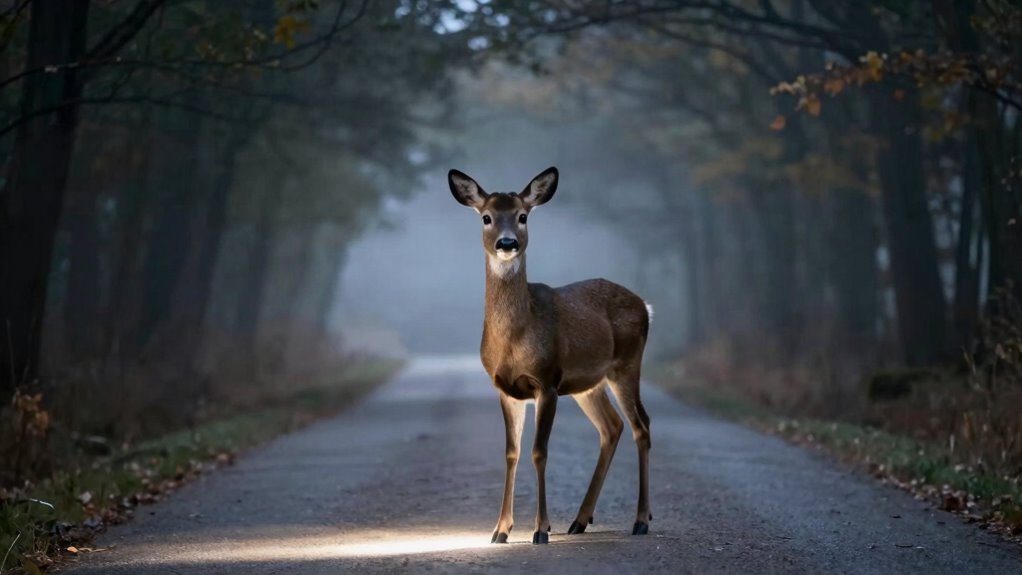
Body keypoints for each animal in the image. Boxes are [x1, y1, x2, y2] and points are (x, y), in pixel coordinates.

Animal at [448, 166, 653, 545]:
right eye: (486, 217)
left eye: (522, 216)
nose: (507, 243)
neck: (515, 340)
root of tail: (645, 305)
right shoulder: (505, 389)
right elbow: (511, 453)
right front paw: (500, 530)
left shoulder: (547, 381)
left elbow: (539, 451)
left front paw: (541, 529)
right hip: (589, 384)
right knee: (612, 427)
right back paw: (580, 520)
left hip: (627, 364)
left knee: (641, 426)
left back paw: (641, 520)